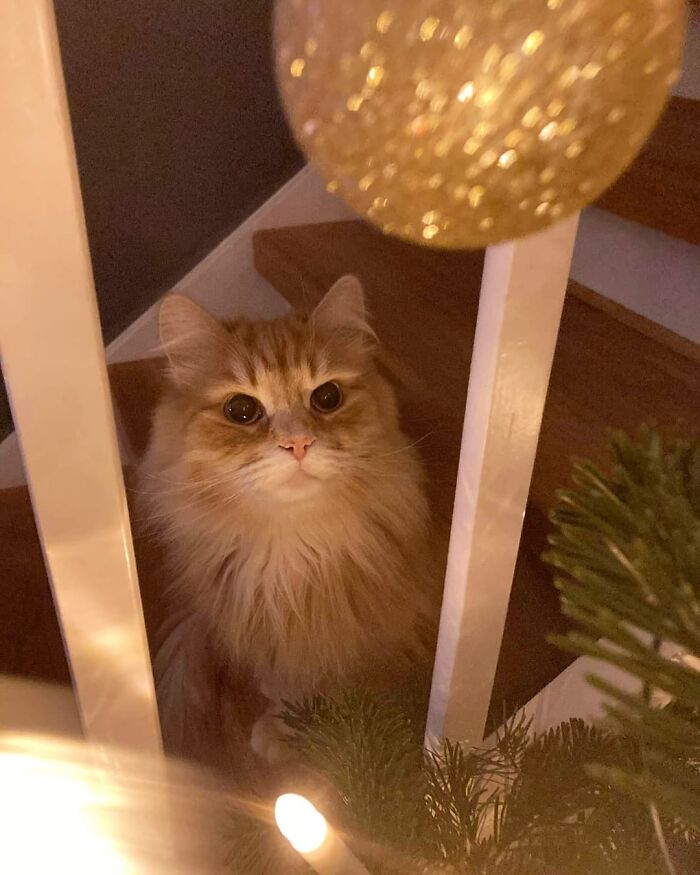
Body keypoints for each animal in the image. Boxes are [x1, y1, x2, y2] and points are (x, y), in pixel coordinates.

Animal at [140, 278, 438, 764]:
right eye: (241, 410)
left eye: (327, 397)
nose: (298, 443)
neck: (292, 555)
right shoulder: (270, 641)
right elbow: (285, 688)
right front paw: (284, 724)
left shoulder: (376, 643)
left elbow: (355, 698)